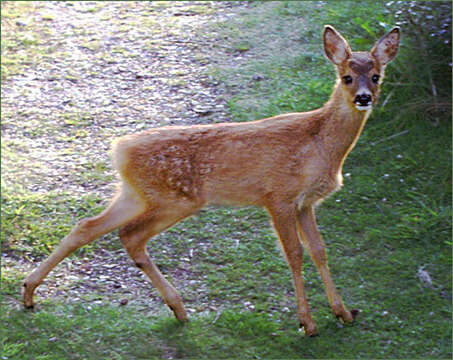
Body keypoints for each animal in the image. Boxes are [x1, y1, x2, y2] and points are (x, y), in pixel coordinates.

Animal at [23, 24, 400, 334]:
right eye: (346, 77)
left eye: (377, 76)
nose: (363, 97)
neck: (320, 145)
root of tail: (119, 150)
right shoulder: (277, 196)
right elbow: (294, 254)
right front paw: (307, 323)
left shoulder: (306, 202)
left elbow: (319, 251)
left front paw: (343, 313)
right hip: (176, 199)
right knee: (130, 235)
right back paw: (177, 307)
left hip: (136, 194)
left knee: (86, 226)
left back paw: (29, 294)